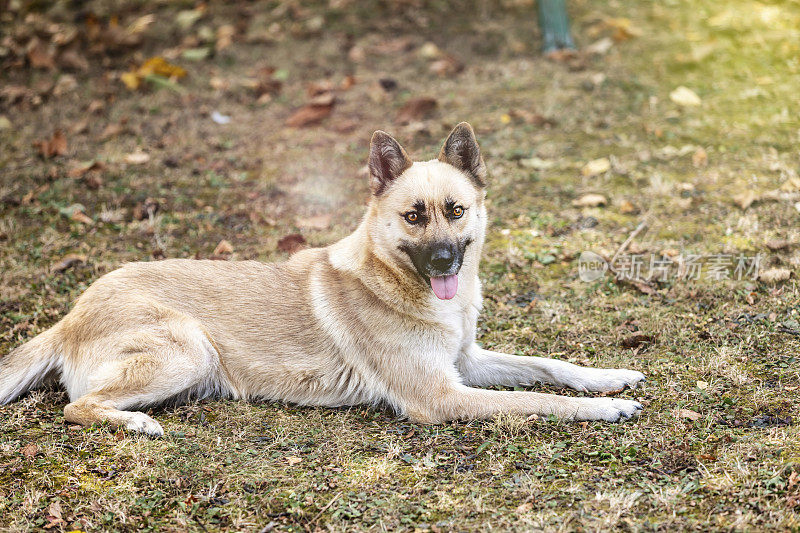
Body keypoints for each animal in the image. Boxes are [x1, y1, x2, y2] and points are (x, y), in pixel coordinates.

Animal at [0, 122, 644, 434]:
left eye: (455, 211)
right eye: (414, 217)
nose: (443, 263)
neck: (392, 278)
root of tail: (71, 315)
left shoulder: (466, 362)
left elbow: (546, 367)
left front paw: (608, 379)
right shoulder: (441, 395)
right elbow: (538, 400)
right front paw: (606, 411)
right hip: (188, 350)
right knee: (76, 408)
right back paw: (134, 421)